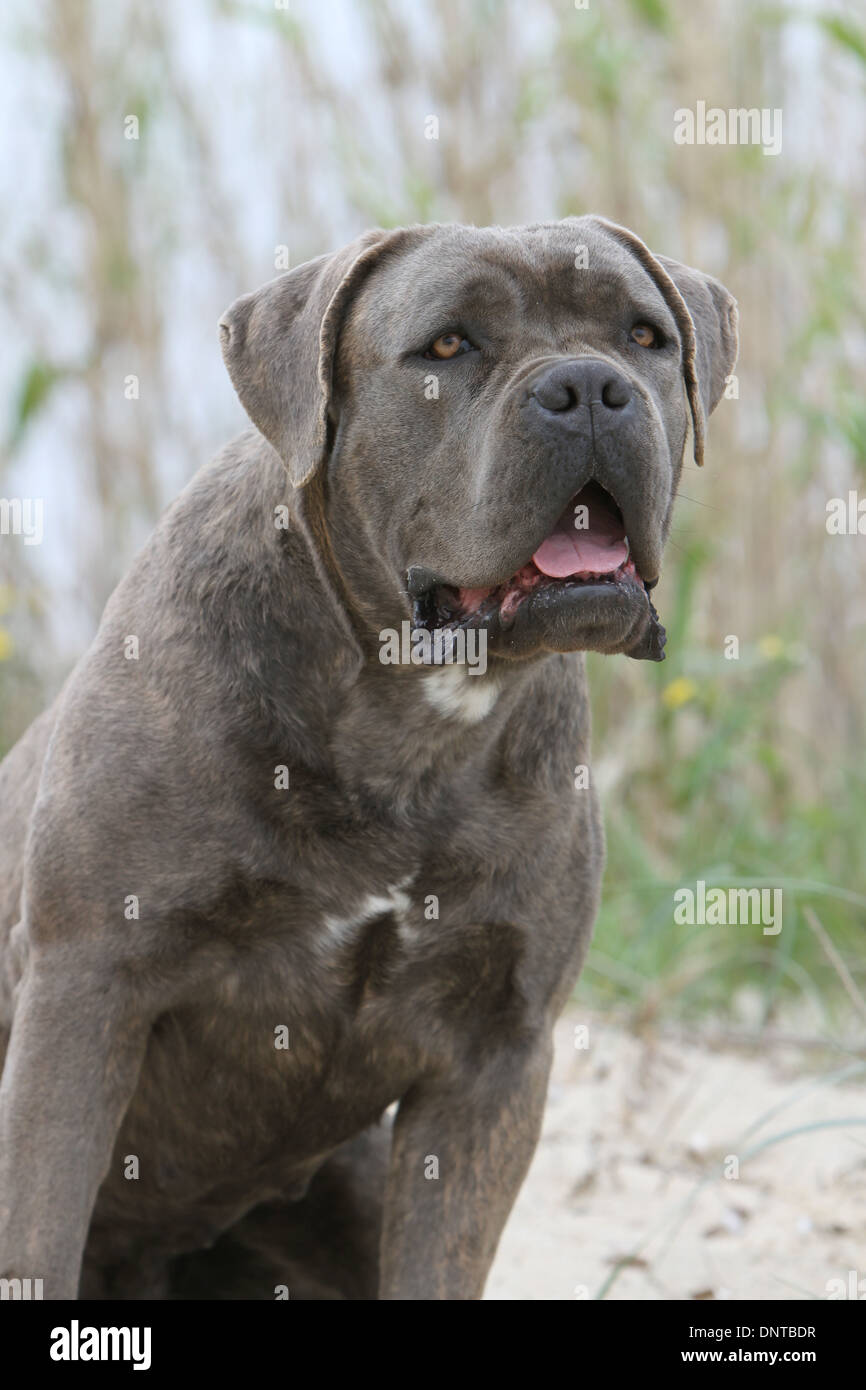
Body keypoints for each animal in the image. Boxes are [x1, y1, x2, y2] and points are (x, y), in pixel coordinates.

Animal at [0, 219, 739, 1301]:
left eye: (643, 335)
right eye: (447, 346)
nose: (589, 387)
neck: (407, 717)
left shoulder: (492, 1062)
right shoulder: (82, 990)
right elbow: (38, 1237)